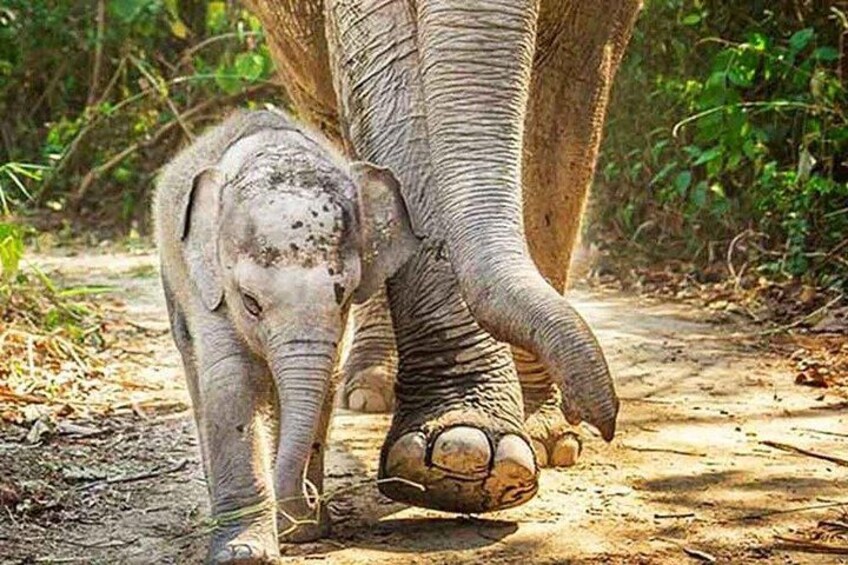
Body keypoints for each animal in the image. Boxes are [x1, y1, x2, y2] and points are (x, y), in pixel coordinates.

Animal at [154, 109, 419, 562]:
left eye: (344, 297)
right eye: (250, 302)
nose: (309, 499)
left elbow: (324, 385)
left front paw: (302, 531)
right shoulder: (209, 289)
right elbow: (232, 382)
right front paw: (244, 552)